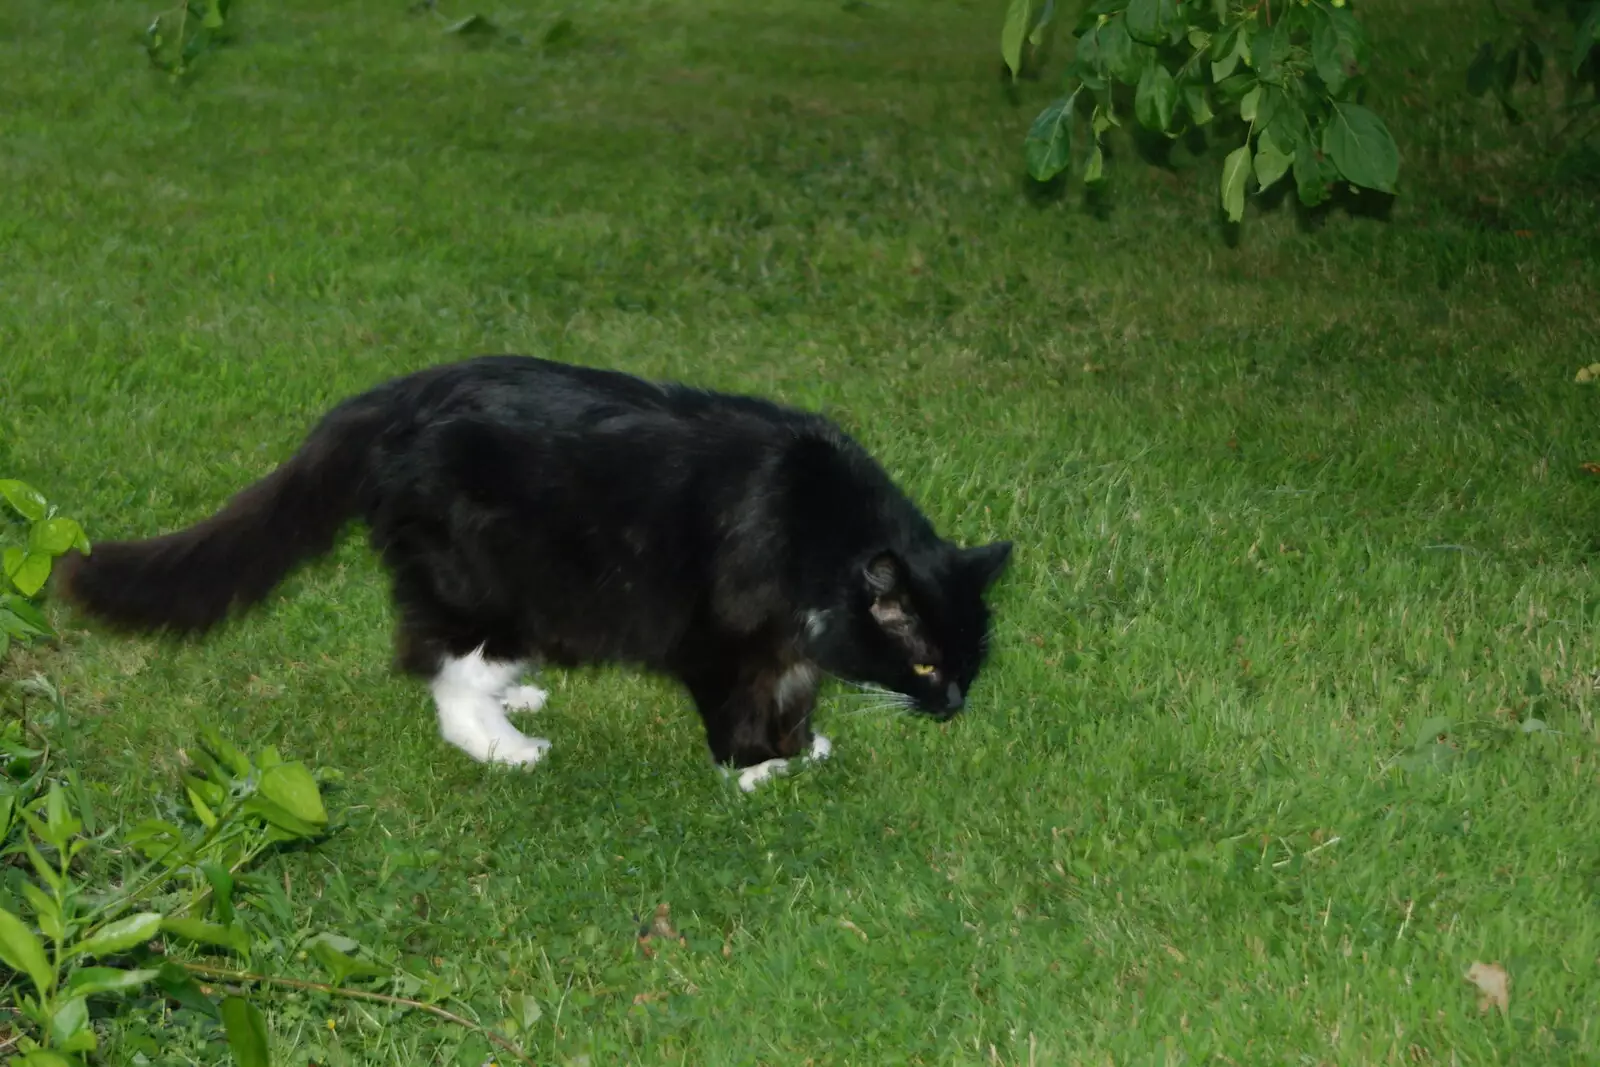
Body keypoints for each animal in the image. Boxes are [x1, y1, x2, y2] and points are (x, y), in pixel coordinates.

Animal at [65, 355, 1011, 790]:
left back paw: (515, 698)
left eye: (966, 665)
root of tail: (399, 394)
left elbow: (794, 686)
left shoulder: (787, 637)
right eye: (925, 661)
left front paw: (798, 742)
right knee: (443, 672)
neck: (813, 527)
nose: (954, 705)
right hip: (488, 585)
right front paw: (754, 769)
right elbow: (736, 705)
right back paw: (505, 746)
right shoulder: (719, 635)